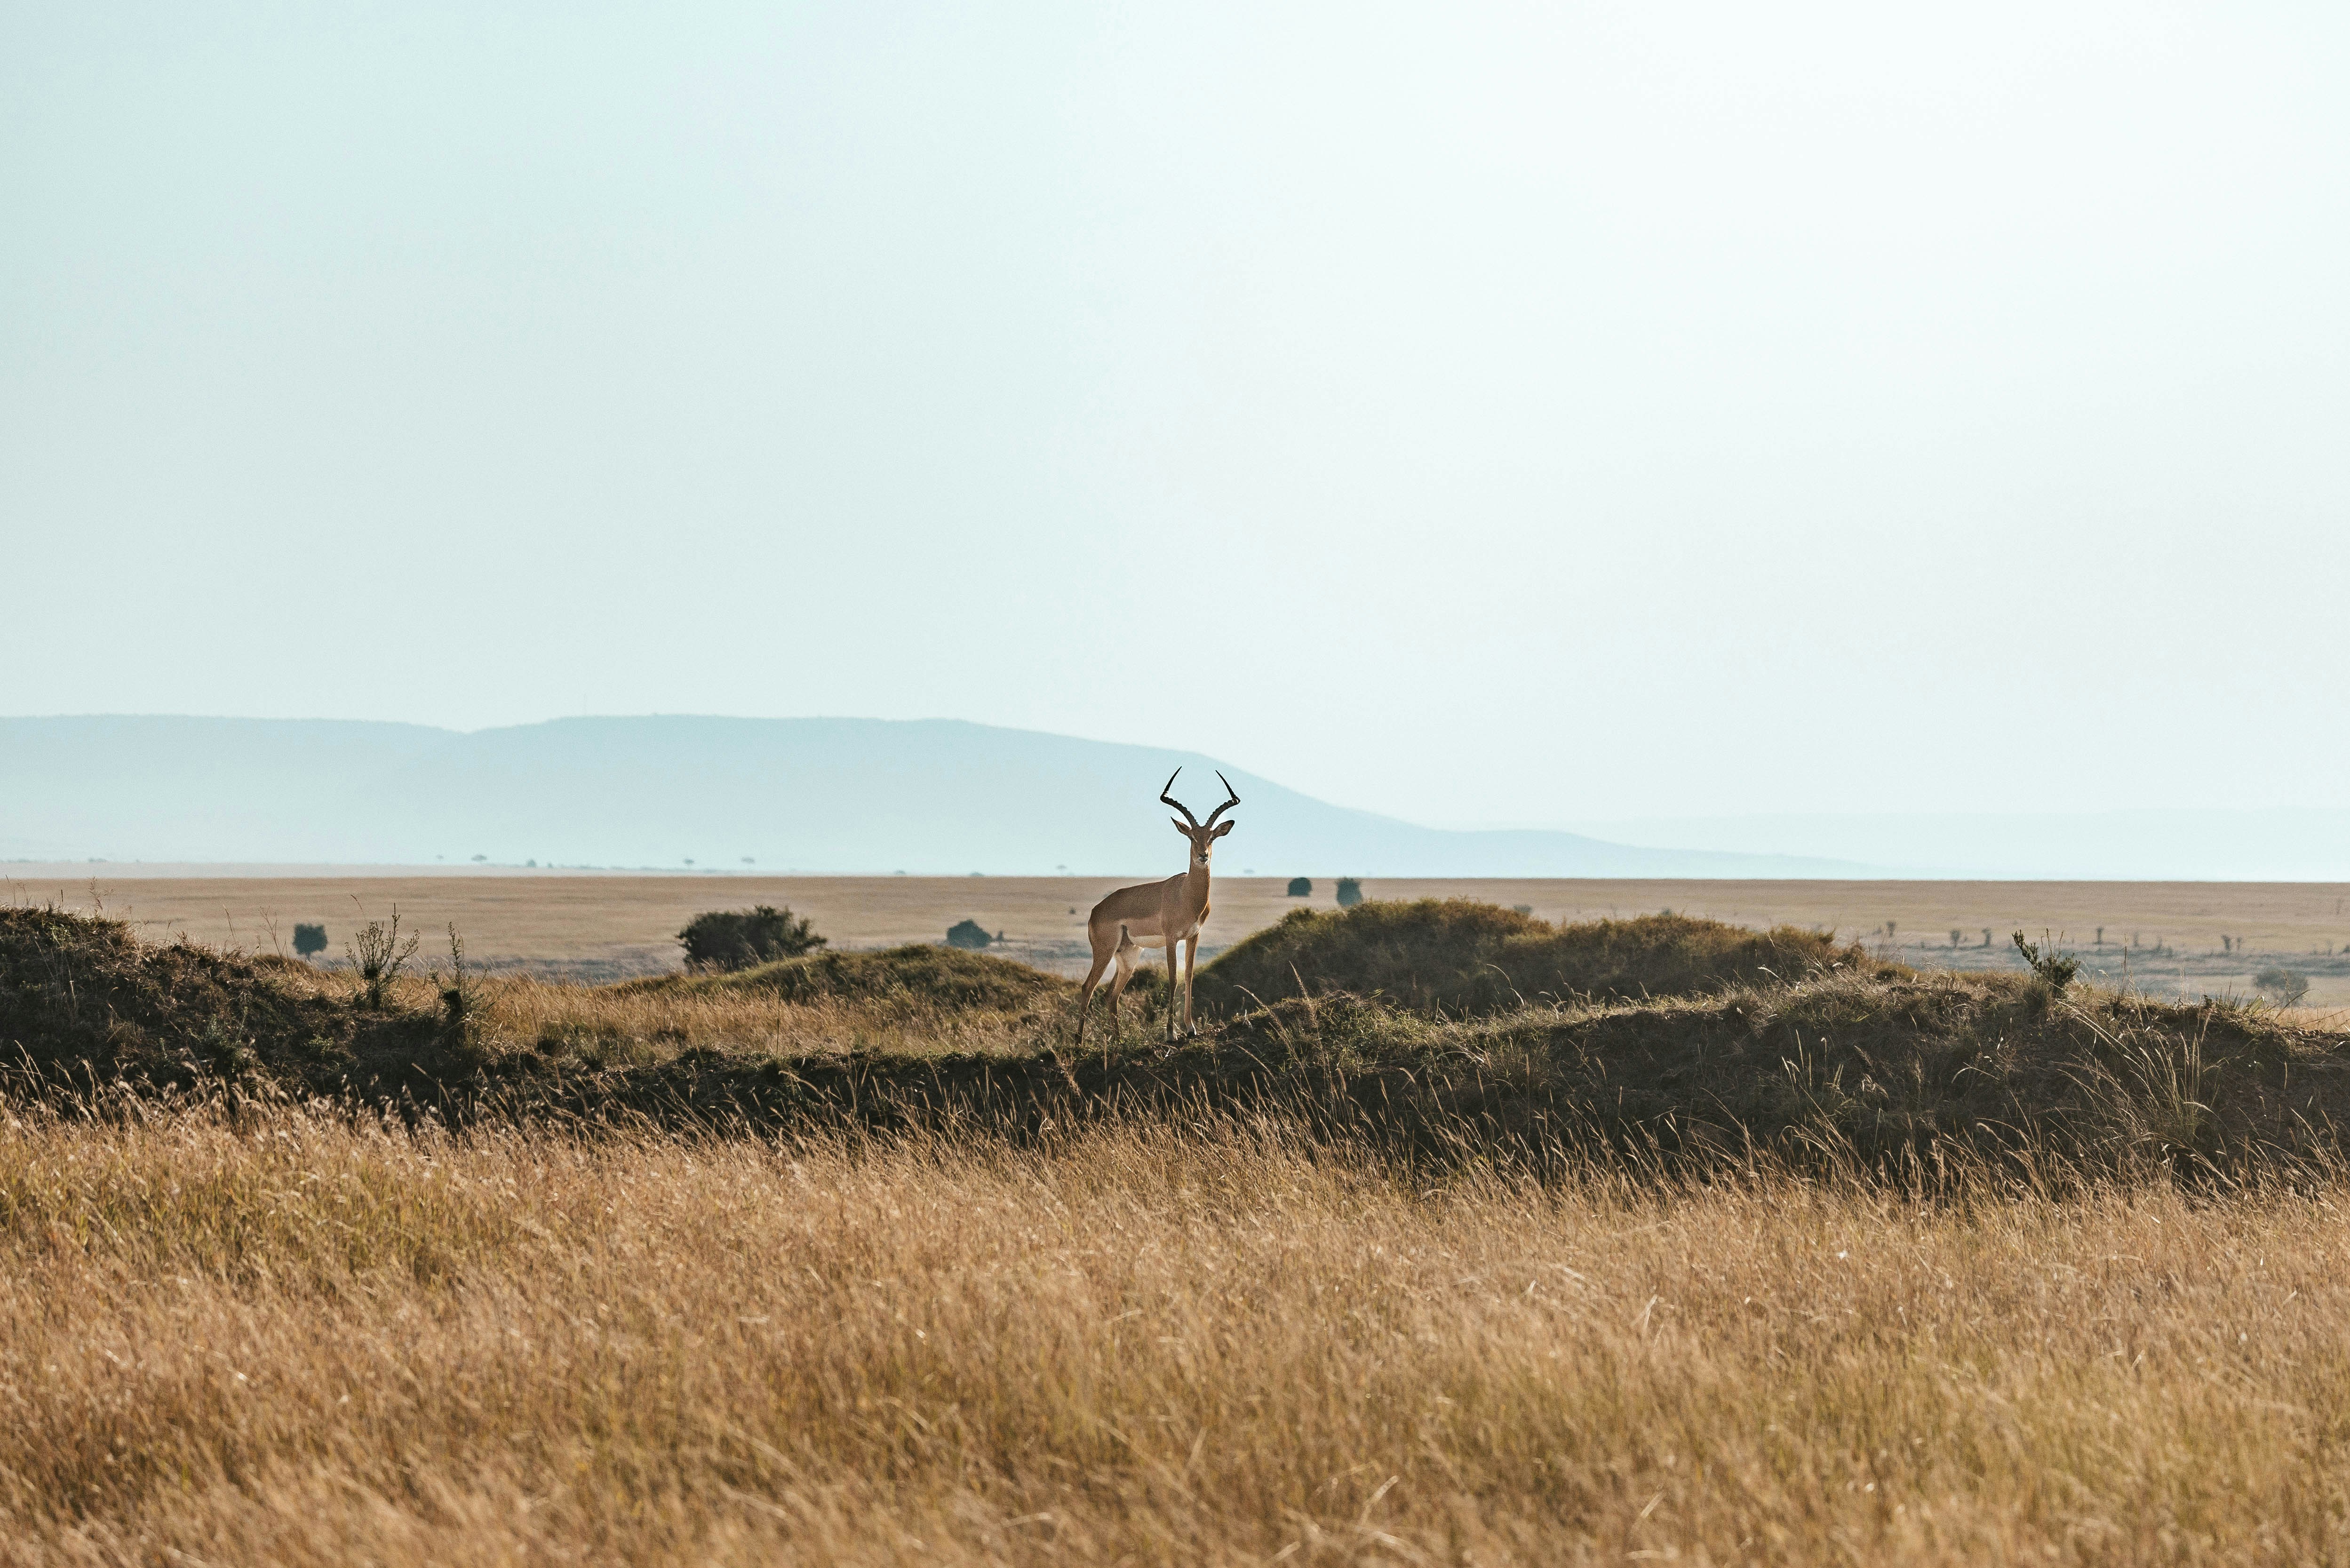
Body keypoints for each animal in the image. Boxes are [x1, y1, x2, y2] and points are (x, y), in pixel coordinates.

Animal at [1074, 768, 1240, 1046]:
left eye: (1212, 837)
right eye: (1191, 837)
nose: (1203, 856)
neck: (1186, 895)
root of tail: (1096, 912)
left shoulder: (1193, 937)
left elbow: (1189, 976)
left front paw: (1191, 1028)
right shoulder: (1171, 939)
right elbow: (1173, 979)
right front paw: (1172, 1033)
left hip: (1128, 956)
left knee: (1110, 995)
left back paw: (1119, 1041)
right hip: (1105, 951)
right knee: (1088, 988)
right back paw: (1078, 1044)